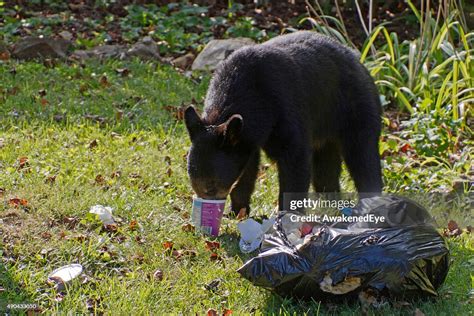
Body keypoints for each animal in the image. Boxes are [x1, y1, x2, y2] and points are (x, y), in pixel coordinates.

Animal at [183, 30, 384, 214]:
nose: (207, 207)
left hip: (355, 107)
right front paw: (237, 211)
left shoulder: (285, 108)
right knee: (326, 169)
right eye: (194, 184)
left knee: (363, 155)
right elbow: (248, 168)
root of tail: (359, 61)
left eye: (211, 187)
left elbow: (295, 159)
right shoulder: (247, 137)